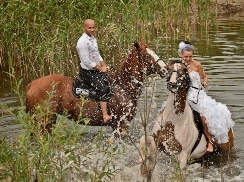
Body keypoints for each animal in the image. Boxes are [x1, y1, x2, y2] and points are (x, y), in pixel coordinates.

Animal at [25, 37, 166, 134]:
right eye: (146, 56)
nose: (166, 70)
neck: (123, 86)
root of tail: (31, 84)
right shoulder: (119, 125)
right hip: (45, 121)